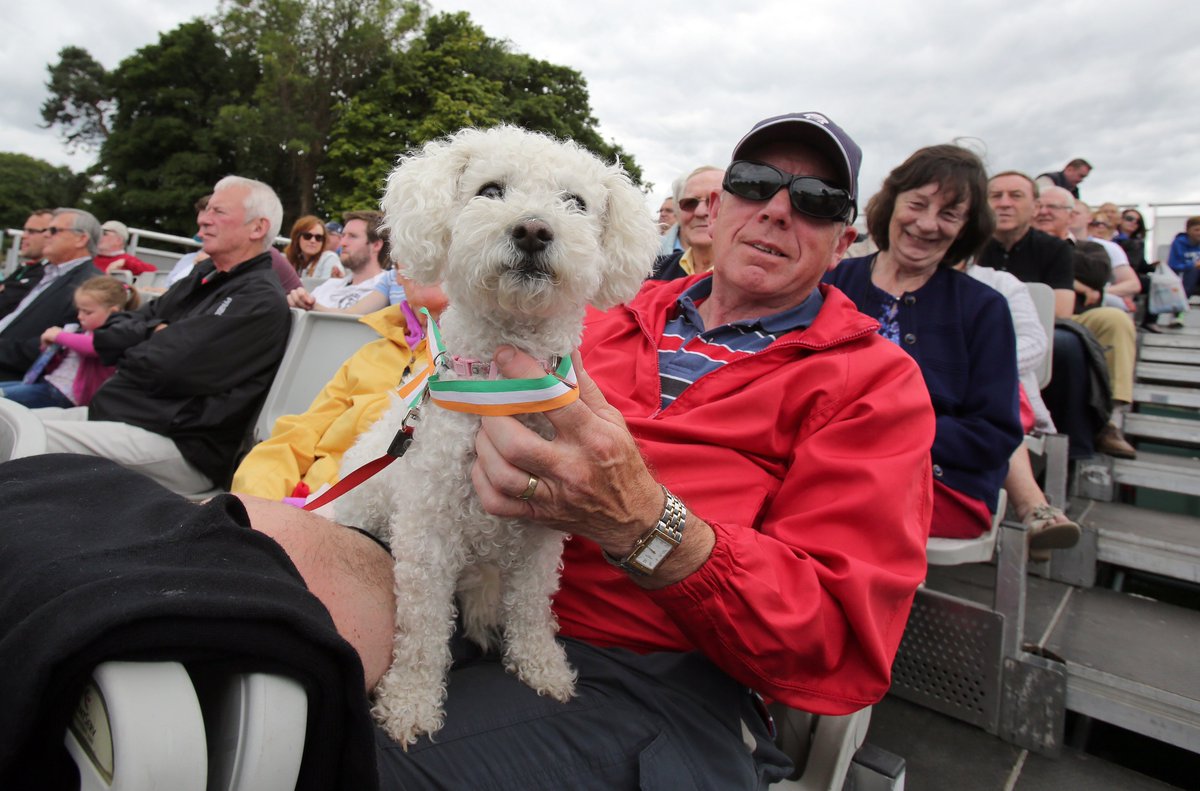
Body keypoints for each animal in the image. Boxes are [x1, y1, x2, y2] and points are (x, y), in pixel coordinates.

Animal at [333, 126, 662, 744]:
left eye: (575, 202)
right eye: (490, 190)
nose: (533, 230)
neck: (506, 381)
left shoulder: (543, 537)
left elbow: (532, 609)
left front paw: (542, 666)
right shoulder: (427, 535)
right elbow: (421, 630)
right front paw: (411, 702)